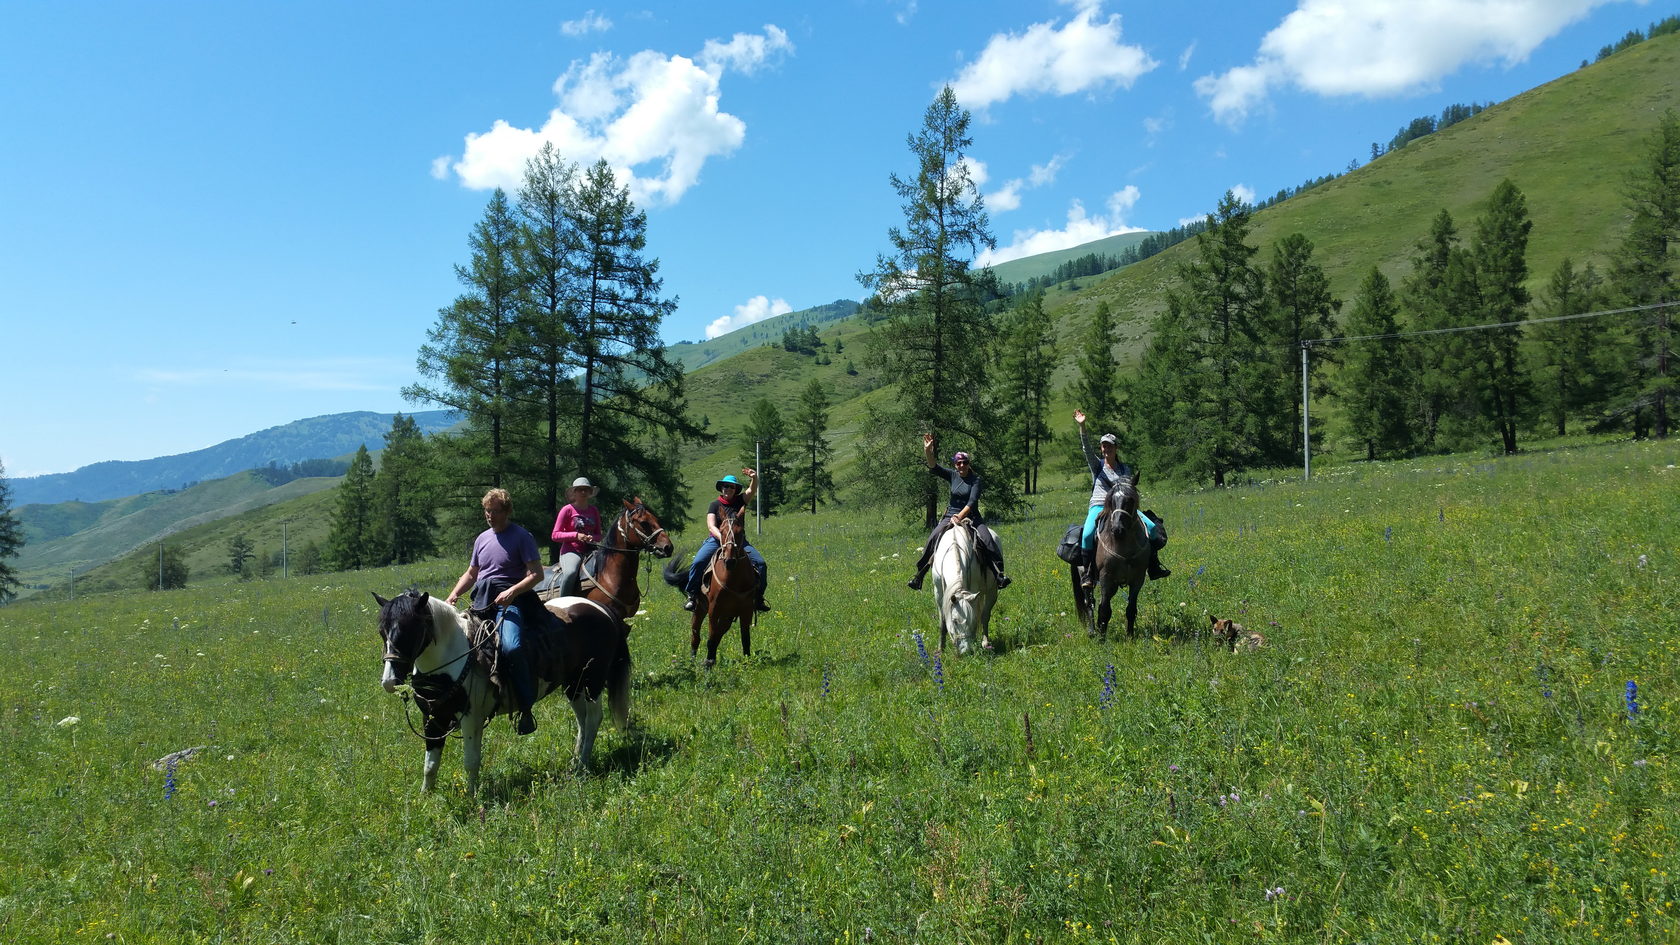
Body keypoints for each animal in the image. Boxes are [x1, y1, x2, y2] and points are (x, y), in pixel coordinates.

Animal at [374, 585, 631, 790]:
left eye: (410, 629)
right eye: (382, 631)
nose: (389, 681)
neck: (453, 658)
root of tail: (601, 609)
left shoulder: (470, 718)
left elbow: (471, 761)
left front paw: (472, 798)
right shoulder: (433, 718)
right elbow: (430, 764)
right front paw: (426, 798)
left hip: (592, 681)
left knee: (594, 718)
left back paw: (582, 766)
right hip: (574, 684)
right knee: (582, 721)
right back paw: (575, 762)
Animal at [661, 514, 762, 662]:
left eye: (740, 532)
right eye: (722, 532)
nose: (730, 561)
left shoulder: (746, 610)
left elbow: (745, 638)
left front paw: (747, 661)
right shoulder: (713, 610)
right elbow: (711, 637)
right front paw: (708, 662)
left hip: (727, 616)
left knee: (718, 633)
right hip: (699, 610)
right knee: (696, 636)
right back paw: (693, 660)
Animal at [927, 514, 987, 655]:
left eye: (972, 620)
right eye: (954, 621)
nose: (966, 651)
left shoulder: (974, 588)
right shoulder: (938, 593)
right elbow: (942, 621)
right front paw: (940, 648)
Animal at [1068, 474, 1149, 635]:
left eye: (1130, 500)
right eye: (1111, 500)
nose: (1117, 529)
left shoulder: (1137, 580)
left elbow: (1131, 609)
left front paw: (1130, 635)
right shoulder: (1106, 579)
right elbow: (1104, 610)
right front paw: (1102, 637)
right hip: (1086, 579)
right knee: (1090, 603)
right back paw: (1093, 631)